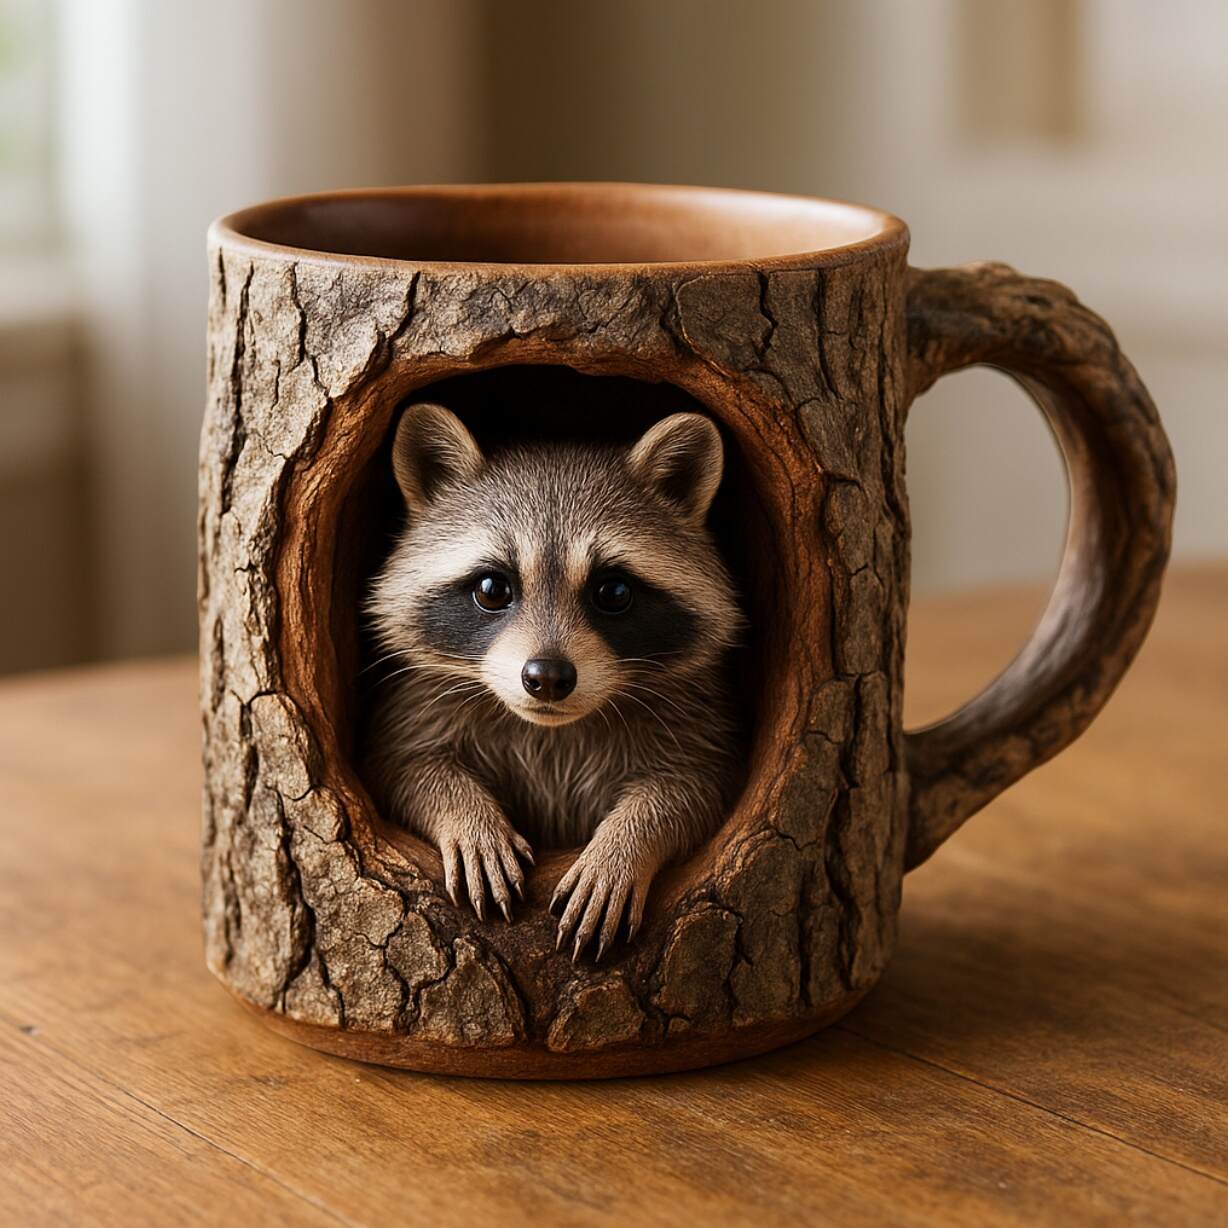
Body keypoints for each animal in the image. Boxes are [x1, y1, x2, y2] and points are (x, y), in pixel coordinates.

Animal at [364, 402, 743, 960]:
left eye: (613, 591)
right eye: (492, 588)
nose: (546, 677)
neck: (552, 729)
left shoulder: (694, 716)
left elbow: (691, 788)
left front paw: (625, 845)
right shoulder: (420, 701)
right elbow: (406, 765)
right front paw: (466, 814)